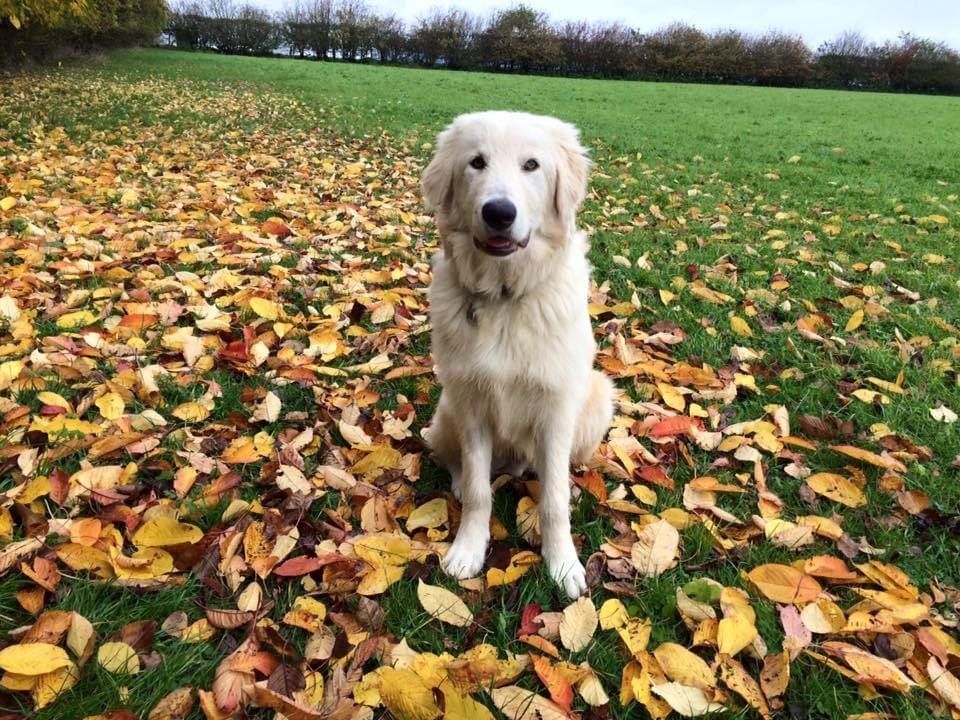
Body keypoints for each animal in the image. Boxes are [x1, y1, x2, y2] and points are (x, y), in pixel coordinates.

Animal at [422, 112, 616, 596]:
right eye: (476, 162)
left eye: (532, 165)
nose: (498, 212)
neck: (506, 297)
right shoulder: (472, 405)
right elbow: (479, 492)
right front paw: (468, 549)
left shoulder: (556, 410)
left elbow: (553, 501)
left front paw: (563, 564)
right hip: (447, 410)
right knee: (454, 463)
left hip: (598, 399)